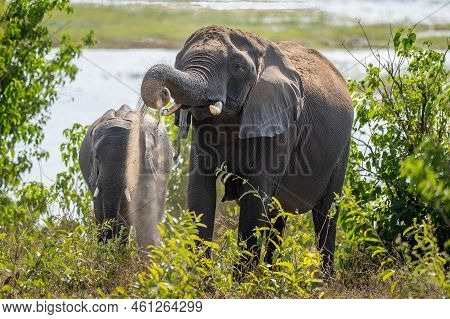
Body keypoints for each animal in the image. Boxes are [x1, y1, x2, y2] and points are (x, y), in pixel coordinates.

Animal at [140, 25, 352, 278]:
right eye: (178, 62)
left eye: (238, 67)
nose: (162, 94)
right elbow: (200, 192)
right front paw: (201, 281)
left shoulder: (280, 121)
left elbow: (255, 197)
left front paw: (240, 282)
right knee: (277, 217)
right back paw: (271, 276)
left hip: (342, 148)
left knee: (326, 214)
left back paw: (324, 281)